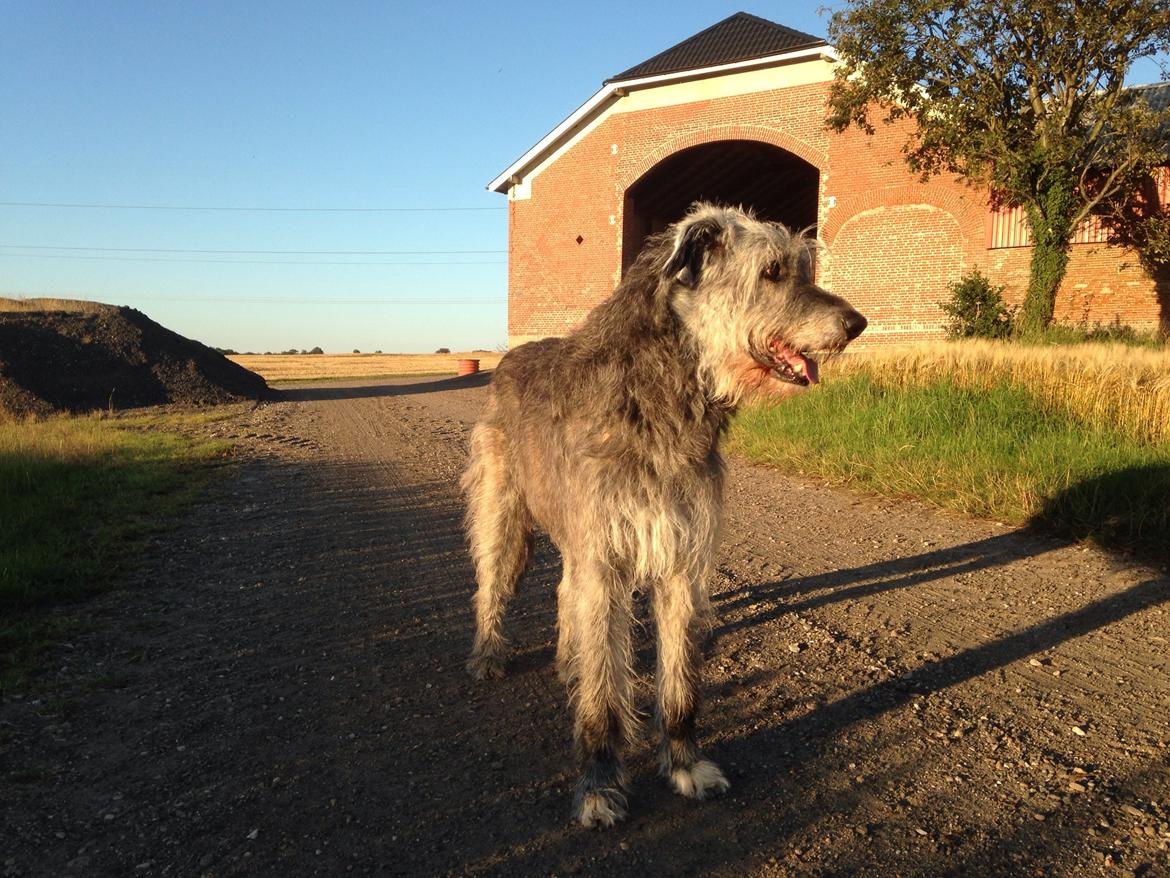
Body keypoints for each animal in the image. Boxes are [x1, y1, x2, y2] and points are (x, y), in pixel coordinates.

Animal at [460, 202, 865, 828]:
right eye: (772, 271)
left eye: (802, 267)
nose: (857, 323)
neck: (662, 397)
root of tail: (508, 358)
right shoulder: (605, 558)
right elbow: (605, 695)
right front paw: (598, 784)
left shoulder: (681, 559)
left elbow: (680, 683)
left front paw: (683, 766)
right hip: (503, 512)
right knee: (493, 584)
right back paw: (488, 654)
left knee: (563, 591)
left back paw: (569, 660)